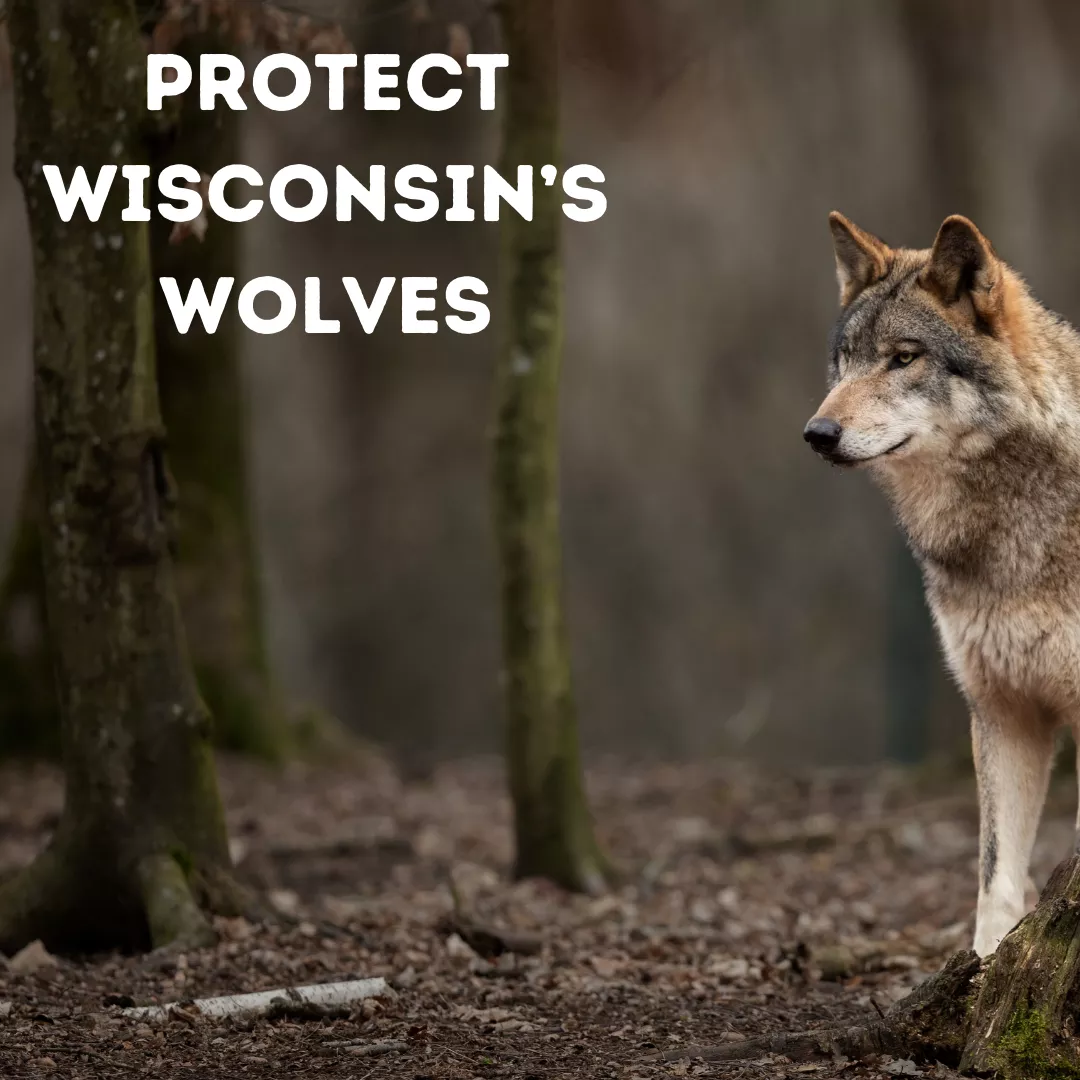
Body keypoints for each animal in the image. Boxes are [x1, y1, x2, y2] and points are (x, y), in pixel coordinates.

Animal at [806, 211, 1080, 956]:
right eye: (847, 361)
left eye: (904, 358)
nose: (817, 432)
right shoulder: (1003, 709)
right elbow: (995, 879)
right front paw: (985, 963)